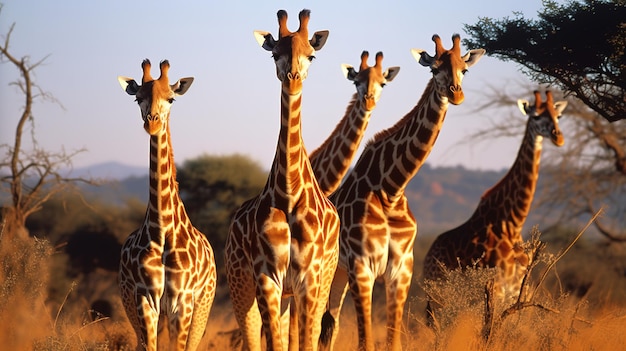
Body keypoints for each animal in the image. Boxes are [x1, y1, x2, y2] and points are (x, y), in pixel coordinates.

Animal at [117, 60, 217, 351]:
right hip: (129, 303)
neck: (161, 230)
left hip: (203, 306)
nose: (152, 123)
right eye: (138, 98)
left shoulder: (181, 302)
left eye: (171, 98)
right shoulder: (145, 299)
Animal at [224, 8, 338, 351]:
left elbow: (306, 343)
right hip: (241, 283)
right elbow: (274, 343)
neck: (288, 193)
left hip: (319, 284)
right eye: (276, 53)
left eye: (311, 55)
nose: (293, 77)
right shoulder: (266, 278)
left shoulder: (309, 280)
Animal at [422, 91, 568, 324]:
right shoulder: (497, 290)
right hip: (438, 298)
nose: (558, 138)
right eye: (536, 116)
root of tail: (427, 258)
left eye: (558, 116)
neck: (513, 224)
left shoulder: (518, 293)